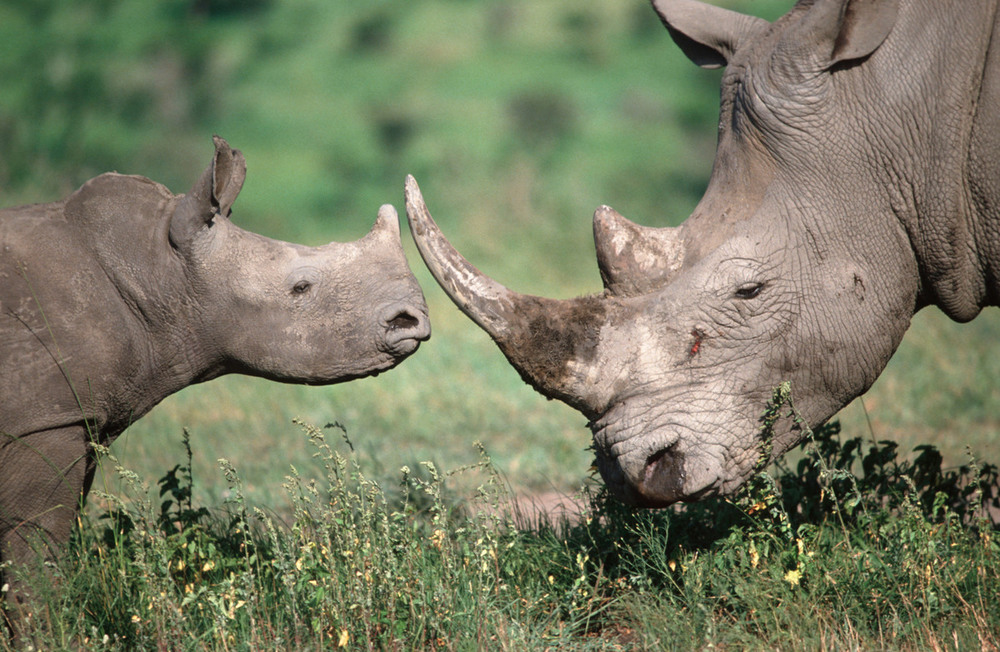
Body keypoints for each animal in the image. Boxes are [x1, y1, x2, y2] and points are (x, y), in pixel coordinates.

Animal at [0, 136, 429, 586]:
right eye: (301, 287)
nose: (410, 320)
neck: (160, 271)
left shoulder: (79, 418)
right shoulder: (46, 419)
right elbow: (35, 552)